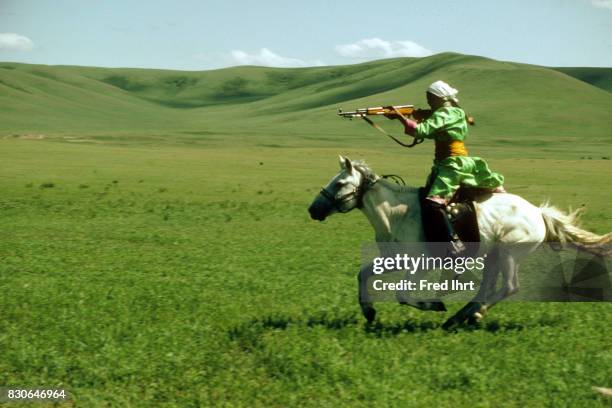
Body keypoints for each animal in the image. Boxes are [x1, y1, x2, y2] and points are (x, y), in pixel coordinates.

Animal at [310, 155, 612, 330]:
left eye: (339, 184)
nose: (313, 210)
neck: (396, 214)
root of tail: (539, 213)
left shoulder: (421, 264)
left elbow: (403, 294)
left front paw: (434, 304)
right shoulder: (392, 260)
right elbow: (363, 274)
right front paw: (369, 312)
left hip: (509, 255)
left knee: (510, 286)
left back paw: (473, 315)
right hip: (493, 256)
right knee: (487, 287)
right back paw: (459, 318)